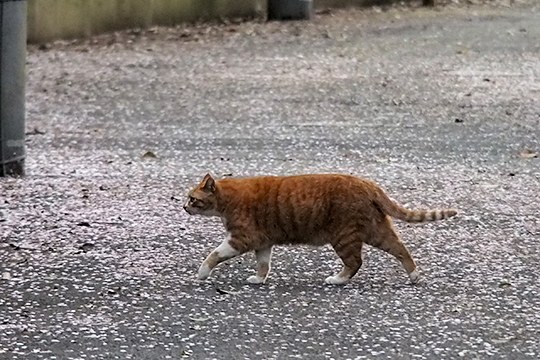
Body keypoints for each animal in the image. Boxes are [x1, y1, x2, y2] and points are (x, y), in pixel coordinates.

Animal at [185, 173, 456, 286]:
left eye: (192, 199)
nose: (184, 207)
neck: (227, 198)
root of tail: (366, 183)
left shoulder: (241, 238)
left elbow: (213, 255)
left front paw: (202, 273)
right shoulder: (262, 242)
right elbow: (263, 264)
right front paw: (260, 279)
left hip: (343, 236)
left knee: (355, 262)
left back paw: (337, 279)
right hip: (376, 230)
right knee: (400, 248)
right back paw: (414, 275)